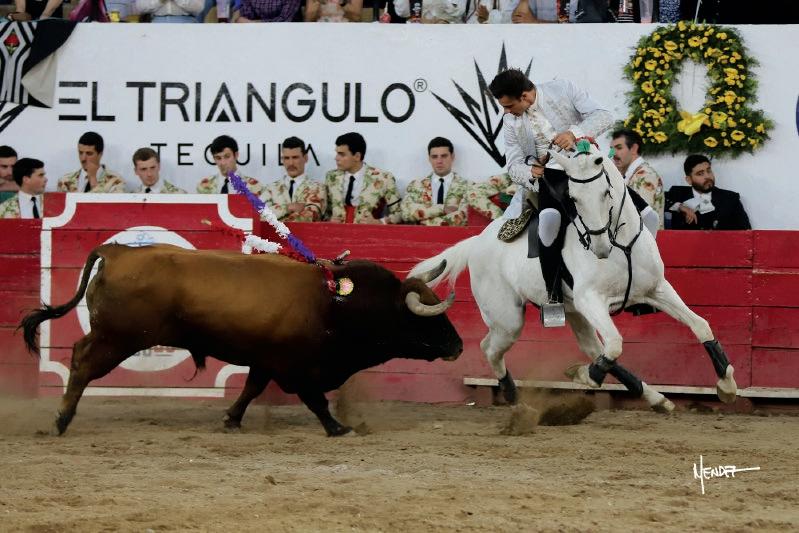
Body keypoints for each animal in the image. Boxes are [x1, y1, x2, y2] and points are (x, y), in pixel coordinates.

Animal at [21, 243, 463, 436]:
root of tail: (117, 251)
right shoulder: (296, 367)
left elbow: (250, 389)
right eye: (426, 318)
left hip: (115, 336)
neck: (337, 302)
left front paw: (231, 418)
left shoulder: (265, 361)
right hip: (118, 338)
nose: (458, 346)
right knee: (82, 361)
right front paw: (338, 427)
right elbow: (316, 400)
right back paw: (61, 419)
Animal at [410, 144, 737, 412]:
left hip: (571, 313)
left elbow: (701, 325)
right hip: (510, 318)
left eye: (606, 193)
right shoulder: (590, 299)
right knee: (489, 347)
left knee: (591, 347)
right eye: (573, 198)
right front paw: (584, 375)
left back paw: (658, 399)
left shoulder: (657, 289)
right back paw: (515, 396)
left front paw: (727, 385)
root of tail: (476, 241)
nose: (600, 247)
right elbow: (615, 344)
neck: (620, 246)